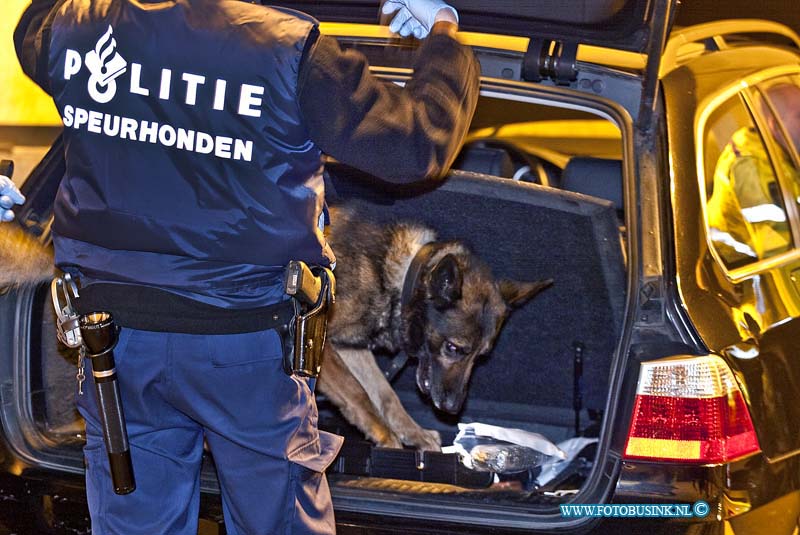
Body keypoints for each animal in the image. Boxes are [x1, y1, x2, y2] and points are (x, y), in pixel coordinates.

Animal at [318, 207, 552, 450]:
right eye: (453, 348)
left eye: (480, 357)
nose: (453, 408)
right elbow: (357, 391)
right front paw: (388, 438)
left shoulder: (350, 349)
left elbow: (384, 393)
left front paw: (413, 432)